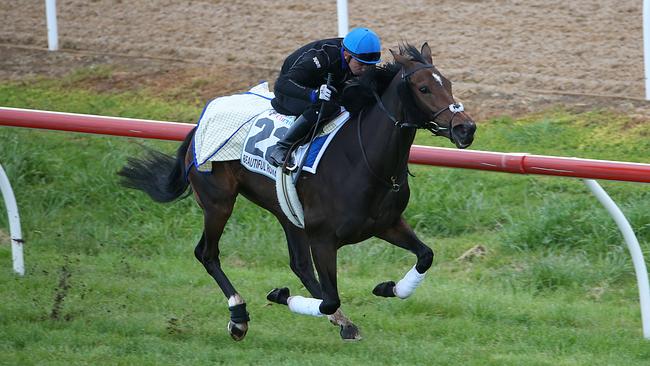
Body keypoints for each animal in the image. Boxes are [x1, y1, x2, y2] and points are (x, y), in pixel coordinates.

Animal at [119, 42, 476, 340]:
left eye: (448, 83)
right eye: (424, 87)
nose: (466, 128)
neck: (363, 159)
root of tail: (198, 125)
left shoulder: (385, 223)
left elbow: (426, 255)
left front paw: (388, 288)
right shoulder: (323, 238)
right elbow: (330, 298)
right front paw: (280, 296)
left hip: (286, 212)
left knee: (299, 265)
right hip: (218, 202)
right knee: (207, 253)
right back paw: (239, 316)